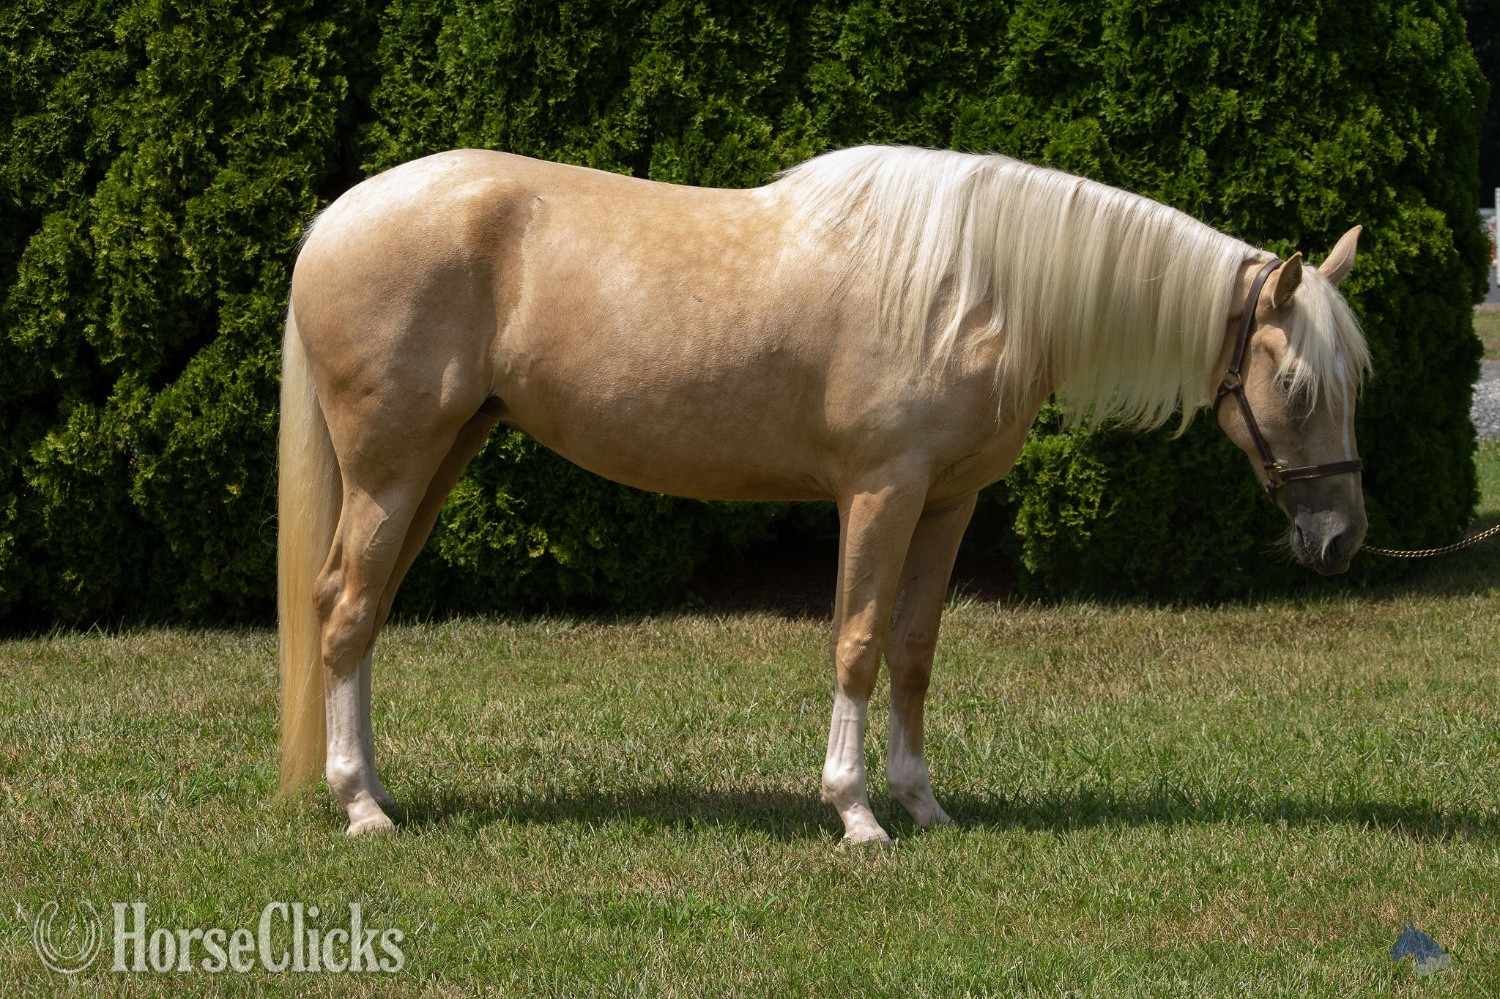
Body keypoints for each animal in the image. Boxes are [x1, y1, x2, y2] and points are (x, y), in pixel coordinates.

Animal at [278, 145, 1370, 841]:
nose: (1341, 538)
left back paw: (374, 788)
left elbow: (915, 649)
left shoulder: (946, 503)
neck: (975, 289)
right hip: (392, 470)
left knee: (363, 614)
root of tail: (335, 219)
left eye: (1355, 382)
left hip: (439, 459)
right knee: (345, 609)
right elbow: (857, 639)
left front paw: (923, 803)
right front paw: (854, 812)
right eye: (1296, 385)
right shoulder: (880, 492)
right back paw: (361, 806)